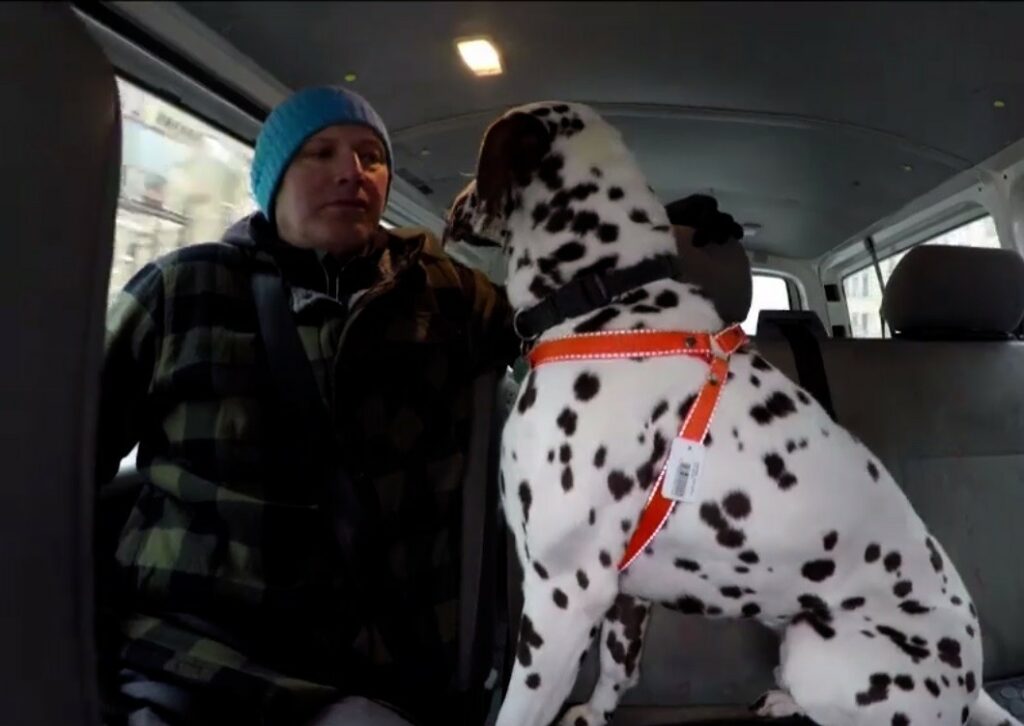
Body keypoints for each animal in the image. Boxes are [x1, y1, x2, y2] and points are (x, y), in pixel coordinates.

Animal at [442, 102, 1020, 726]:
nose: (455, 200)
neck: (608, 302)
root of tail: (972, 687)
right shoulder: (622, 595)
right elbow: (619, 667)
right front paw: (595, 712)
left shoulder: (561, 597)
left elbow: (519, 709)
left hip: (818, 650)